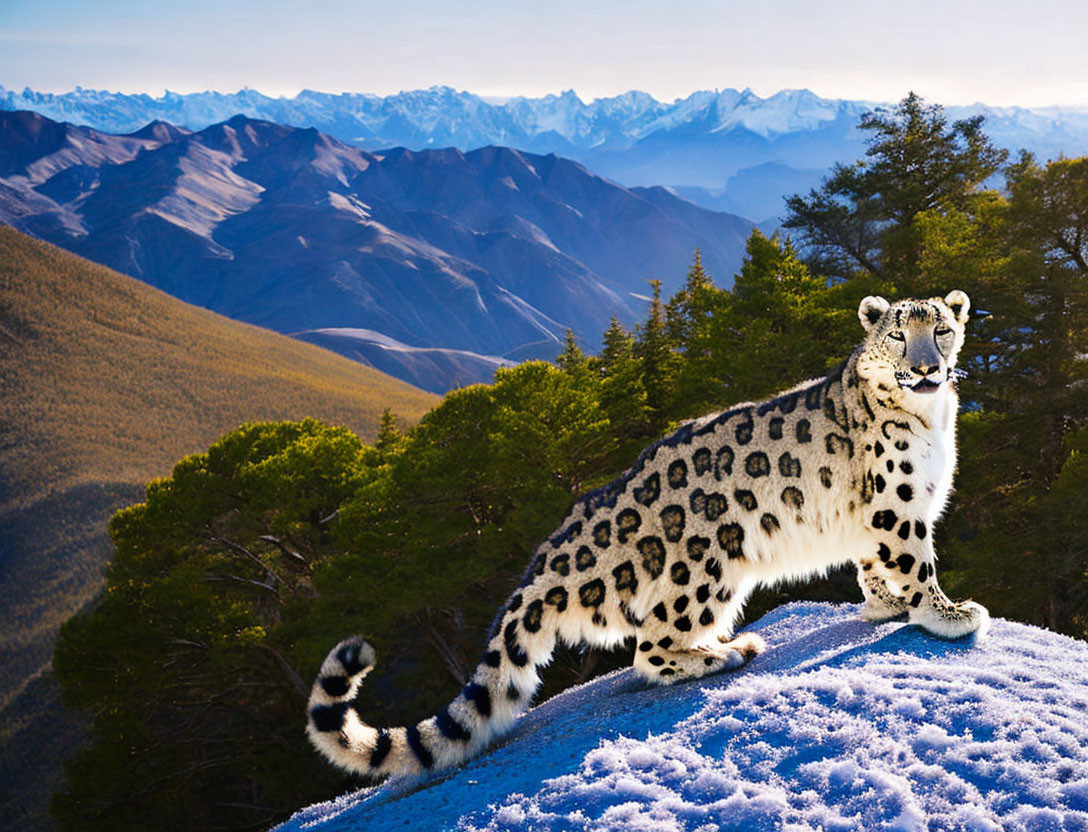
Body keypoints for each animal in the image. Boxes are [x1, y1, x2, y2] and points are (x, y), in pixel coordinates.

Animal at [304, 289, 987, 774]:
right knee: (649, 646)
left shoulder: (872, 516)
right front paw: (949, 613)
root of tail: (564, 532)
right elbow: (914, 559)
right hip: (708, 564)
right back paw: (723, 652)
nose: (927, 367)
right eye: (898, 334)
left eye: (941, 329)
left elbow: (874, 564)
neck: (933, 417)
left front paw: (886, 605)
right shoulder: (897, 502)